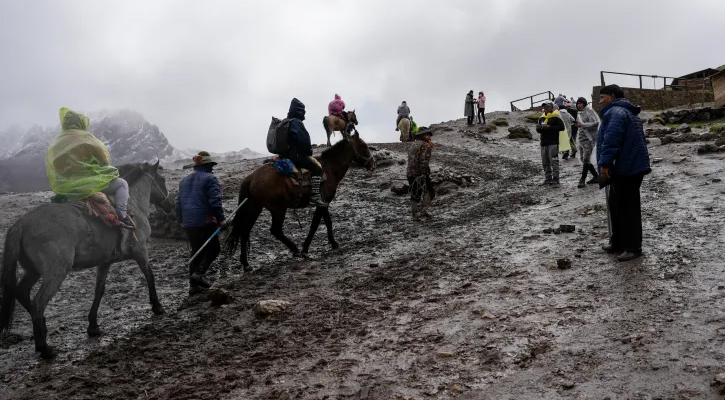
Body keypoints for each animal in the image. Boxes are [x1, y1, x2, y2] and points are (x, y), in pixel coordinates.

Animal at [0, 161, 172, 358]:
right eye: (162, 179)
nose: (170, 206)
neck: (133, 204)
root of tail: (20, 224)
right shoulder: (140, 251)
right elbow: (150, 276)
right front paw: (157, 306)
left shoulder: (105, 262)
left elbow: (99, 290)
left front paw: (93, 326)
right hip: (55, 273)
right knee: (38, 303)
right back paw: (45, 348)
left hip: (32, 271)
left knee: (21, 292)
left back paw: (43, 329)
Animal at [225, 131, 374, 268]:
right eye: (363, 145)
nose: (373, 164)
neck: (330, 168)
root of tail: (251, 178)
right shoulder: (322, 202)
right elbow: (315, 225)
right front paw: (305, 249)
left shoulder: (324, 202)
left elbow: (328, 222)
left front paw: (333, 243)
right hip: (278, 209)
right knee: (275, 230)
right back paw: (295, 250)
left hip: (254, 208)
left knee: (244, 231)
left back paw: (246, 264)